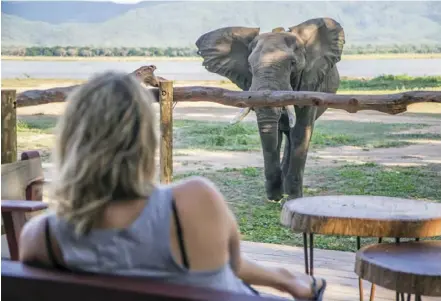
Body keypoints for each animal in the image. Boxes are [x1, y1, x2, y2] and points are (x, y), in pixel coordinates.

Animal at [195, 15, 344, 199]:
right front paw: (276, 196)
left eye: (292, 63)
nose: (275, 195)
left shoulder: (310, 83)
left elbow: (300, 131)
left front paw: (293, 197)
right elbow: (274, 134)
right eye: (249, 66)